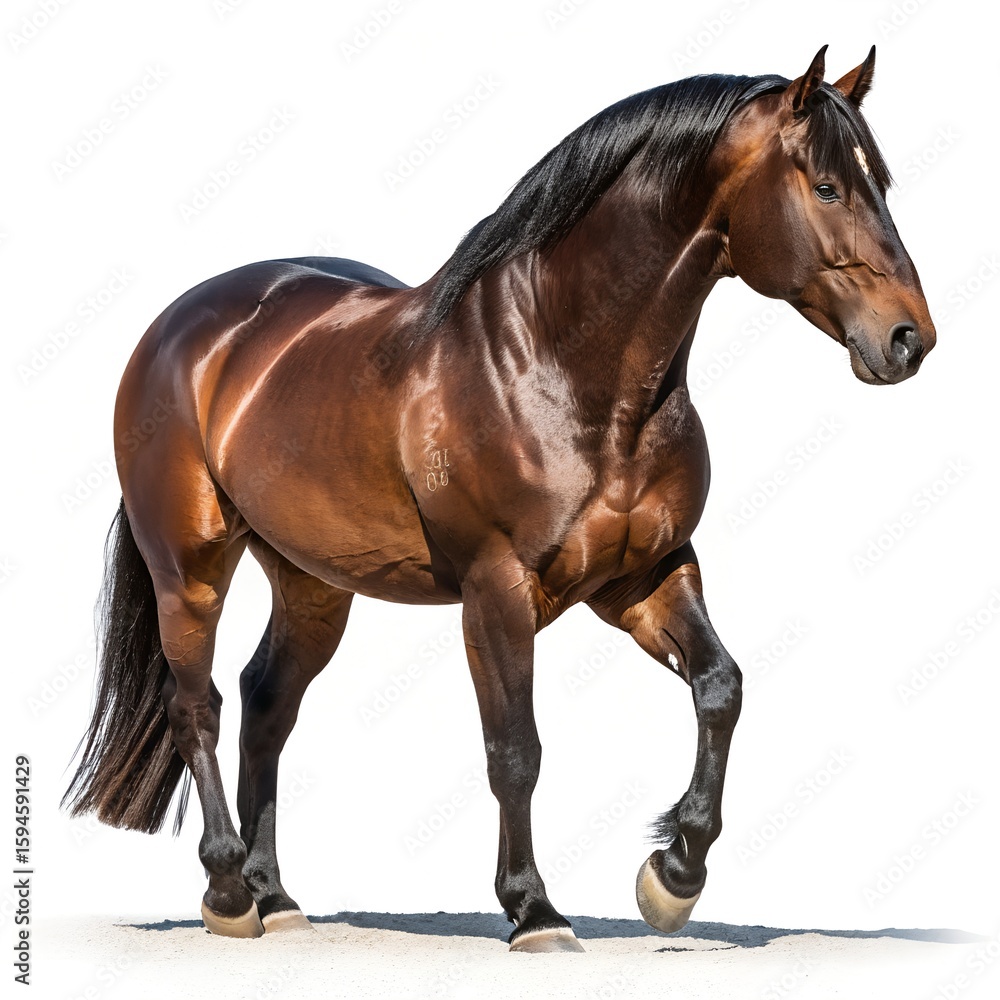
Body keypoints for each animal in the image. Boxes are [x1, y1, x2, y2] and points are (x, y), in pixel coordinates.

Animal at [64, 45, 935, 952]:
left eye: (878, 183)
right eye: (827, 187)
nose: (909, 338)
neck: (560, 366)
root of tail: (183, 328)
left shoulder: (645, 576)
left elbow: (720, 688)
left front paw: (674, 876)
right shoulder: (497, 590)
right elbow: (515, 749)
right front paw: (534, 910)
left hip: (312, 583)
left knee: (266, 703)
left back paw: (277, 897)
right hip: (190, 567)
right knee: (196, 706)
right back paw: (230, 891)